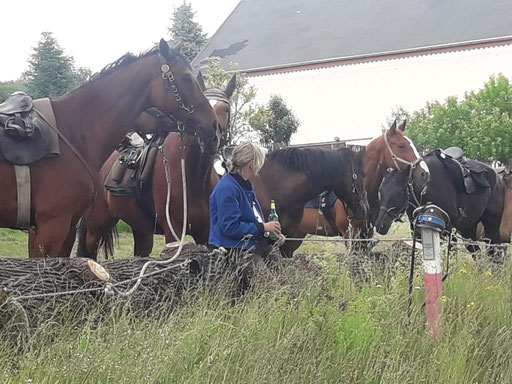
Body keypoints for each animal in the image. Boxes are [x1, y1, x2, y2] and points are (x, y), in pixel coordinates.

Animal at [77, 74, 237, 260]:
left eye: (226, 109)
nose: (209, 137)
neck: (193, 177)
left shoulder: (206, 233)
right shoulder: (173, 232)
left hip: (141, 229)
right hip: (97, 224)